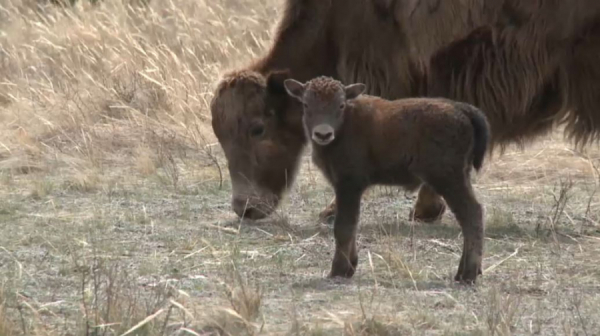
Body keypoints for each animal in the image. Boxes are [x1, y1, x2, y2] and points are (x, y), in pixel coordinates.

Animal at [284, 75, 490, 284]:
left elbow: (344, 226)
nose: (323, 133)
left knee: (471, 215)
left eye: (340, 105)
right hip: (459, 177)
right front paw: (350, 267)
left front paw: (338, 270)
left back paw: (468, 275)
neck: (345, 123)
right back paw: (463, 273)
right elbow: (353, 224)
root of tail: (461, 108)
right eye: (306, 104)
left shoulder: (349, 185)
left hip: (448, 180)